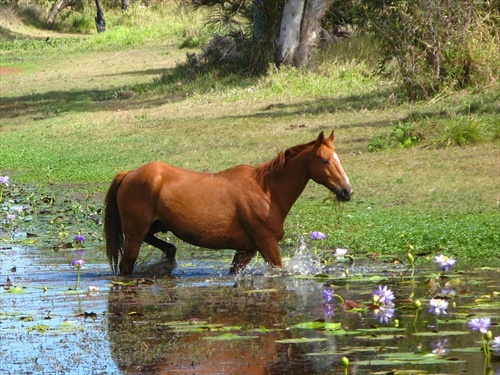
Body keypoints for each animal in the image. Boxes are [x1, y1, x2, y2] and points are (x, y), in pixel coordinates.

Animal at [102, 132, 352, 276]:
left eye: (339, 159)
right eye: (325, 160)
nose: (347, 191)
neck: (266, 191)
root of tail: (129, 174)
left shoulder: (246, 250)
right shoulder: (268, 245)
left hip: (151, 227)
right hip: (135, 234)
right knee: (126, 266)